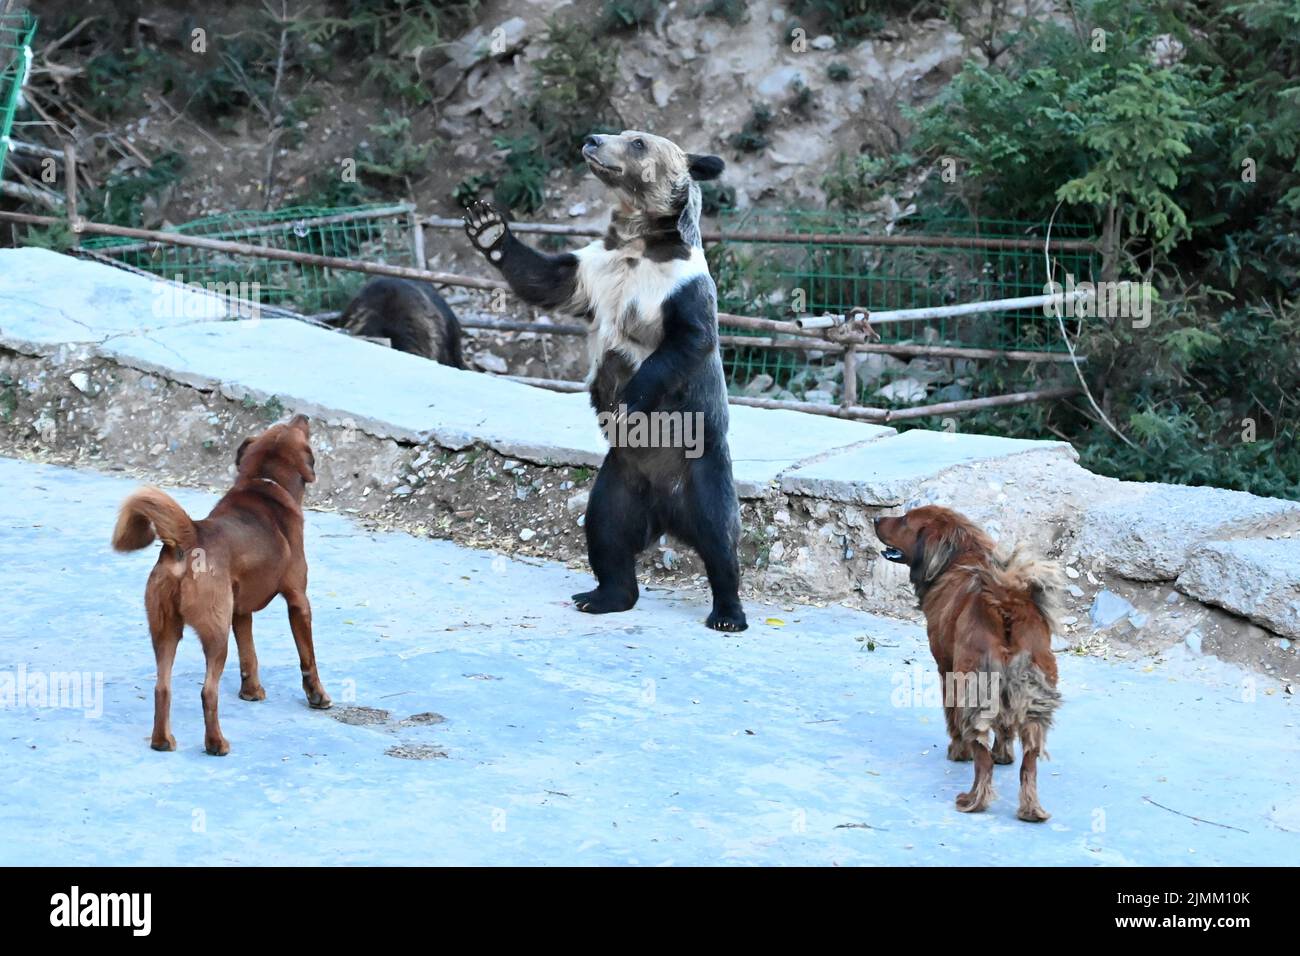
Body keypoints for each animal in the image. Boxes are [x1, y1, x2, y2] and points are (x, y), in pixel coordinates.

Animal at [111, 416, 330, 759]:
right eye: (294, 428)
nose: (303, 417)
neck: (265, 482)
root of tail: (188, 537)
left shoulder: (240, 612)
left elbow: (249, 655)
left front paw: (251, 691)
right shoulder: (298, 600)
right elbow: (307, 657)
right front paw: (317, 696)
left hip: (165, 630)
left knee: (162, 687)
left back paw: (163, 741)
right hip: (216, 633)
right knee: (208, 691)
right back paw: (216, 743)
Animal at [873, 509, 1066, 822]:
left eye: (904, 520)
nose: (877, 519)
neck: (960, 555)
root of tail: (1006, 603)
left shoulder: (946, 669)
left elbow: (951, 717)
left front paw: (957, 751)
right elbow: (1004, 728)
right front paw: (1004, 756)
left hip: (972, 686)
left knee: (982, 759)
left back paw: (974, 800)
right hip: (1035, 697)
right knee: (1029, 763)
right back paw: (1030, 809)